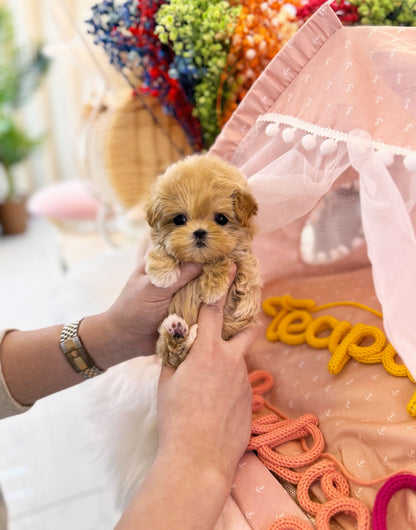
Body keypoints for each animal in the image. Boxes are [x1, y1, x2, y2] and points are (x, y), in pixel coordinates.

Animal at [145, 154, 262, 368]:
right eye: (179, 219)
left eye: (221, 219)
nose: (199, 231)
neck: (200, 259)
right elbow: (162, 248)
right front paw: (163, 274)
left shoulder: (245, 266)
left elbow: (225, 260)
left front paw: (213, 287)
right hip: (166, 349)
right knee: (172, 352)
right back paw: (176, 332)